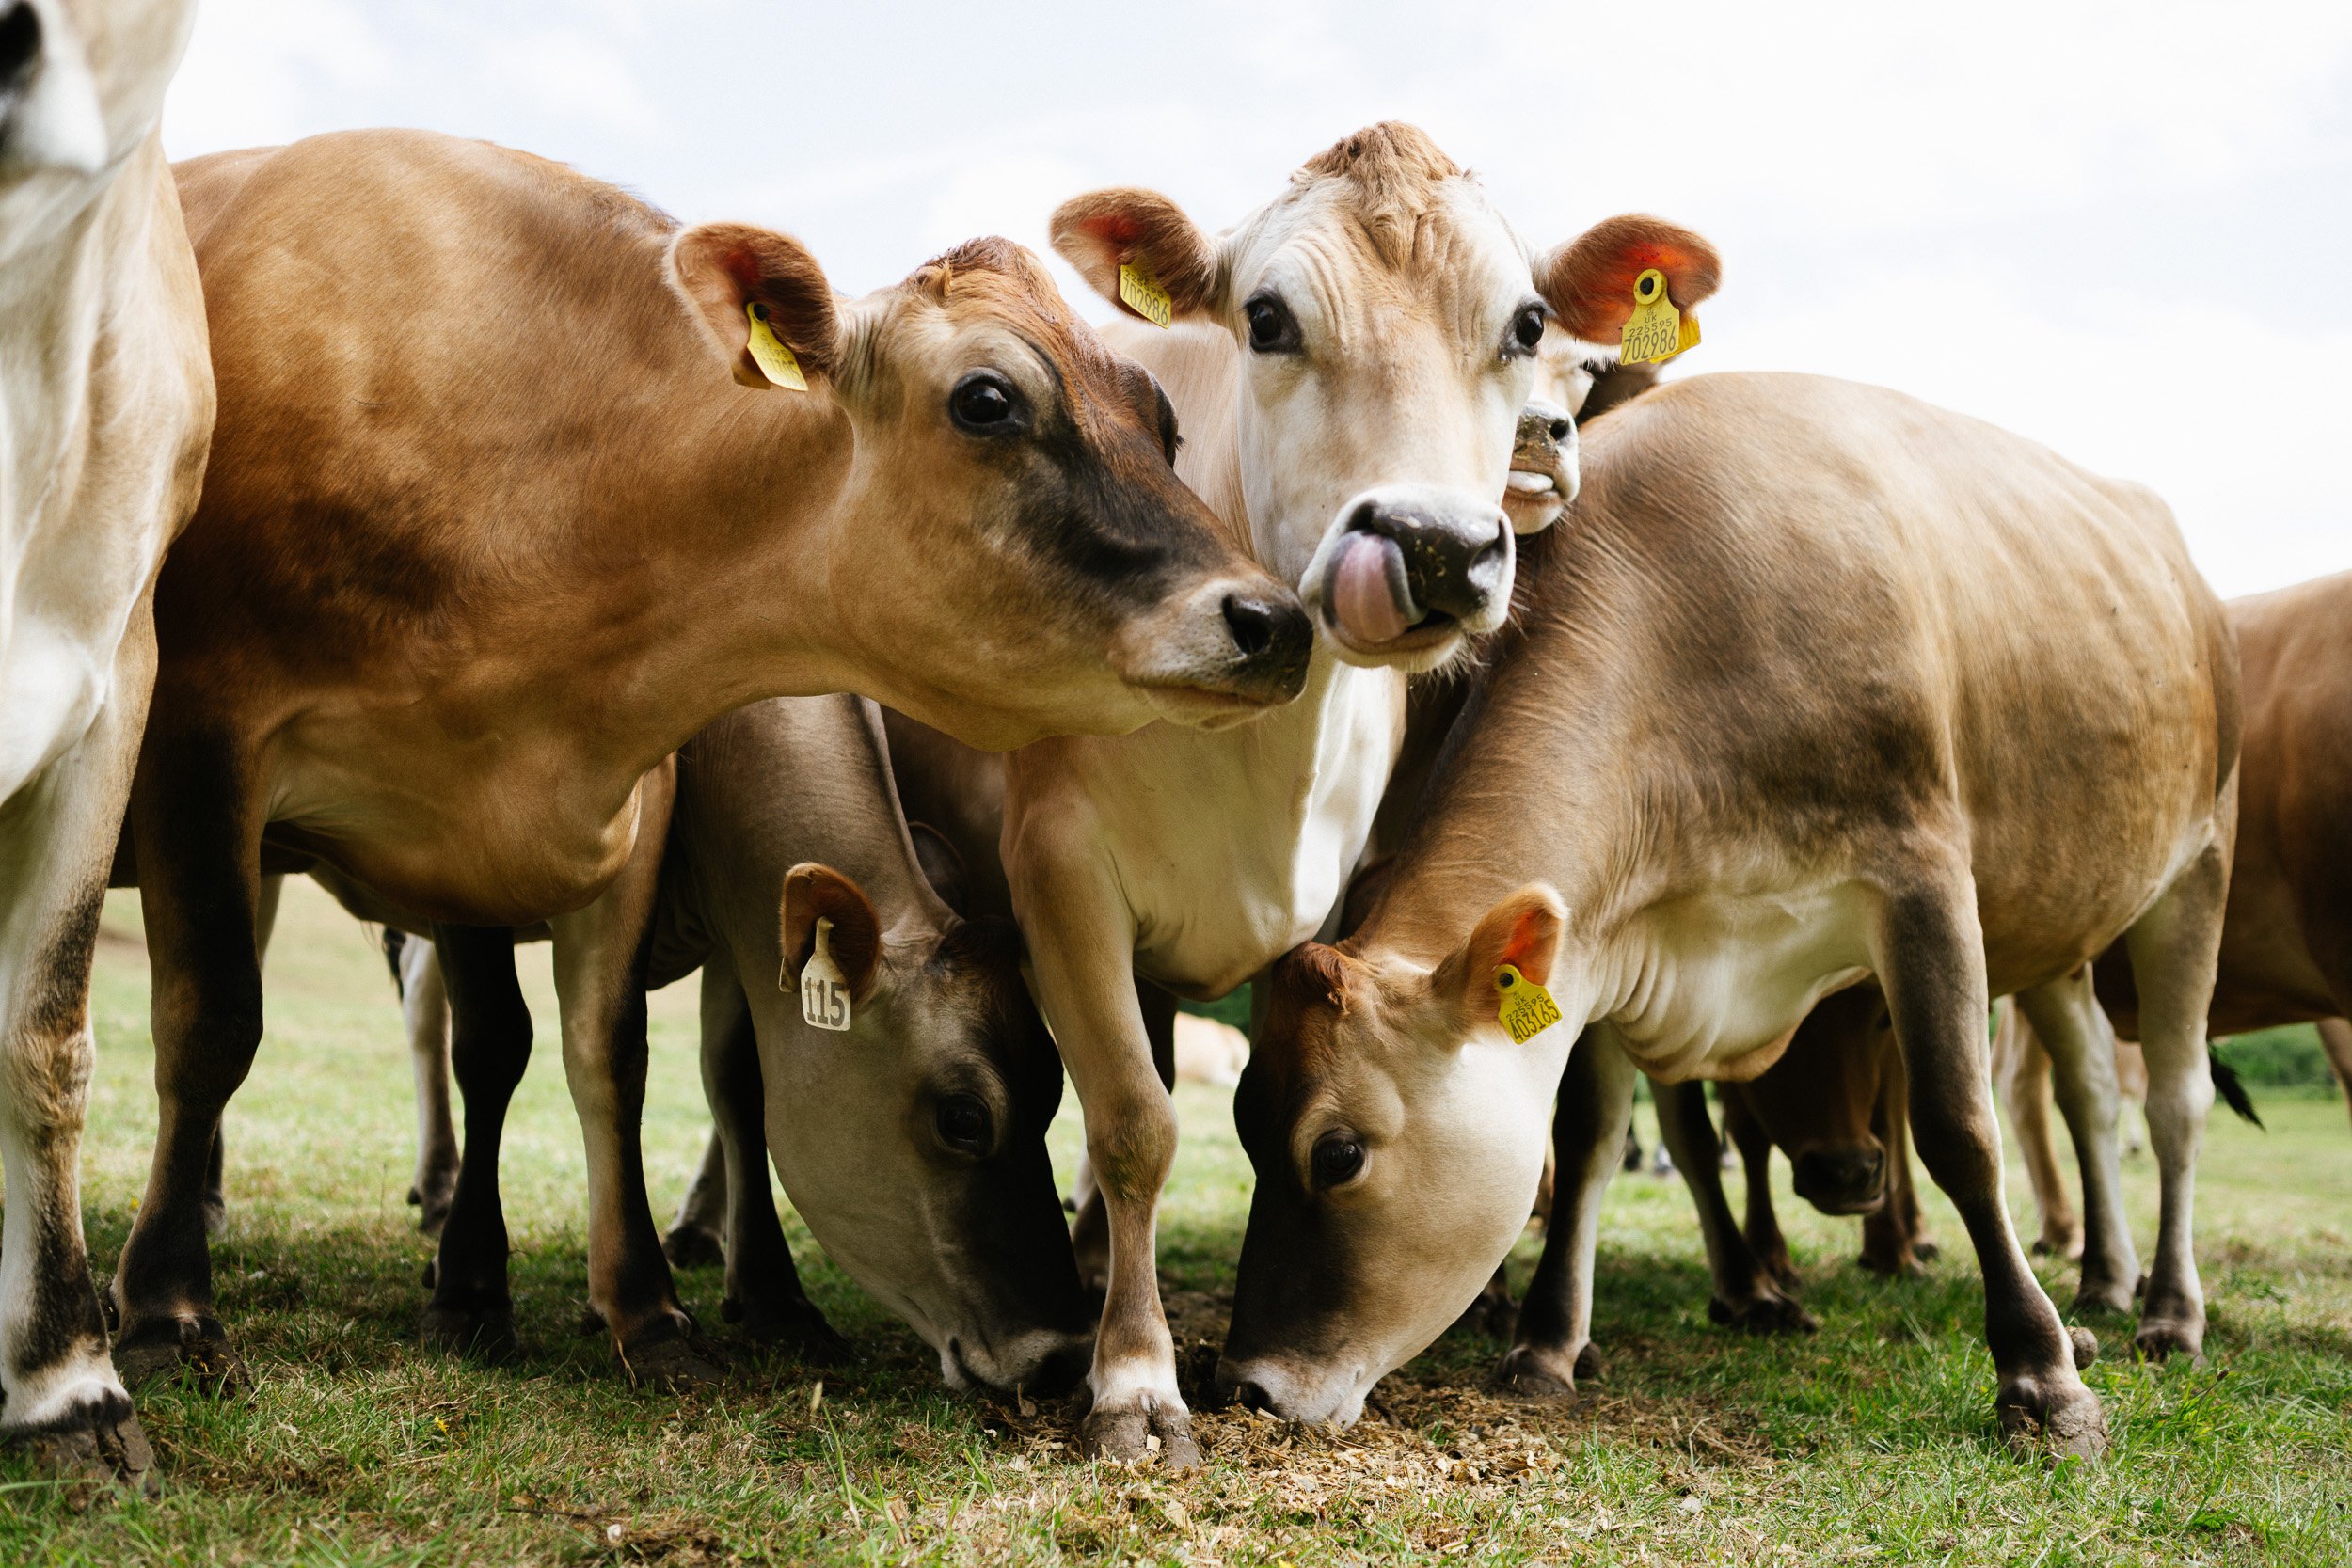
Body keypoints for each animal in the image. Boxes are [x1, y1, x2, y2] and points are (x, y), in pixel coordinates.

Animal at [104, 127, 1309, 1408]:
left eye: (1160, 417)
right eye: (987, 400)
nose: (1273, 619)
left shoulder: (627, 807)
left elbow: (631, 1058)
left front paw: (670, 1305)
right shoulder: (216, 739)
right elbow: (247, 1021)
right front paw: (194, 1305)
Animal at [1220, 373, 2239, 1458]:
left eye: (1336, 1152)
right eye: (1244, 1126)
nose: (1244, 1383)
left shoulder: (1922, 873)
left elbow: (1959, 1126)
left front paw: (2042, 1377)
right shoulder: (1612, 938)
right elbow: (1589, 1138)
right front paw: (1547, 1342)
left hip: (2197, 863)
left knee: (2174, 1100)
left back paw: (2167, 1310)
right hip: (2059, 929)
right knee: (2091, 1089)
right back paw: (2102, 1279)